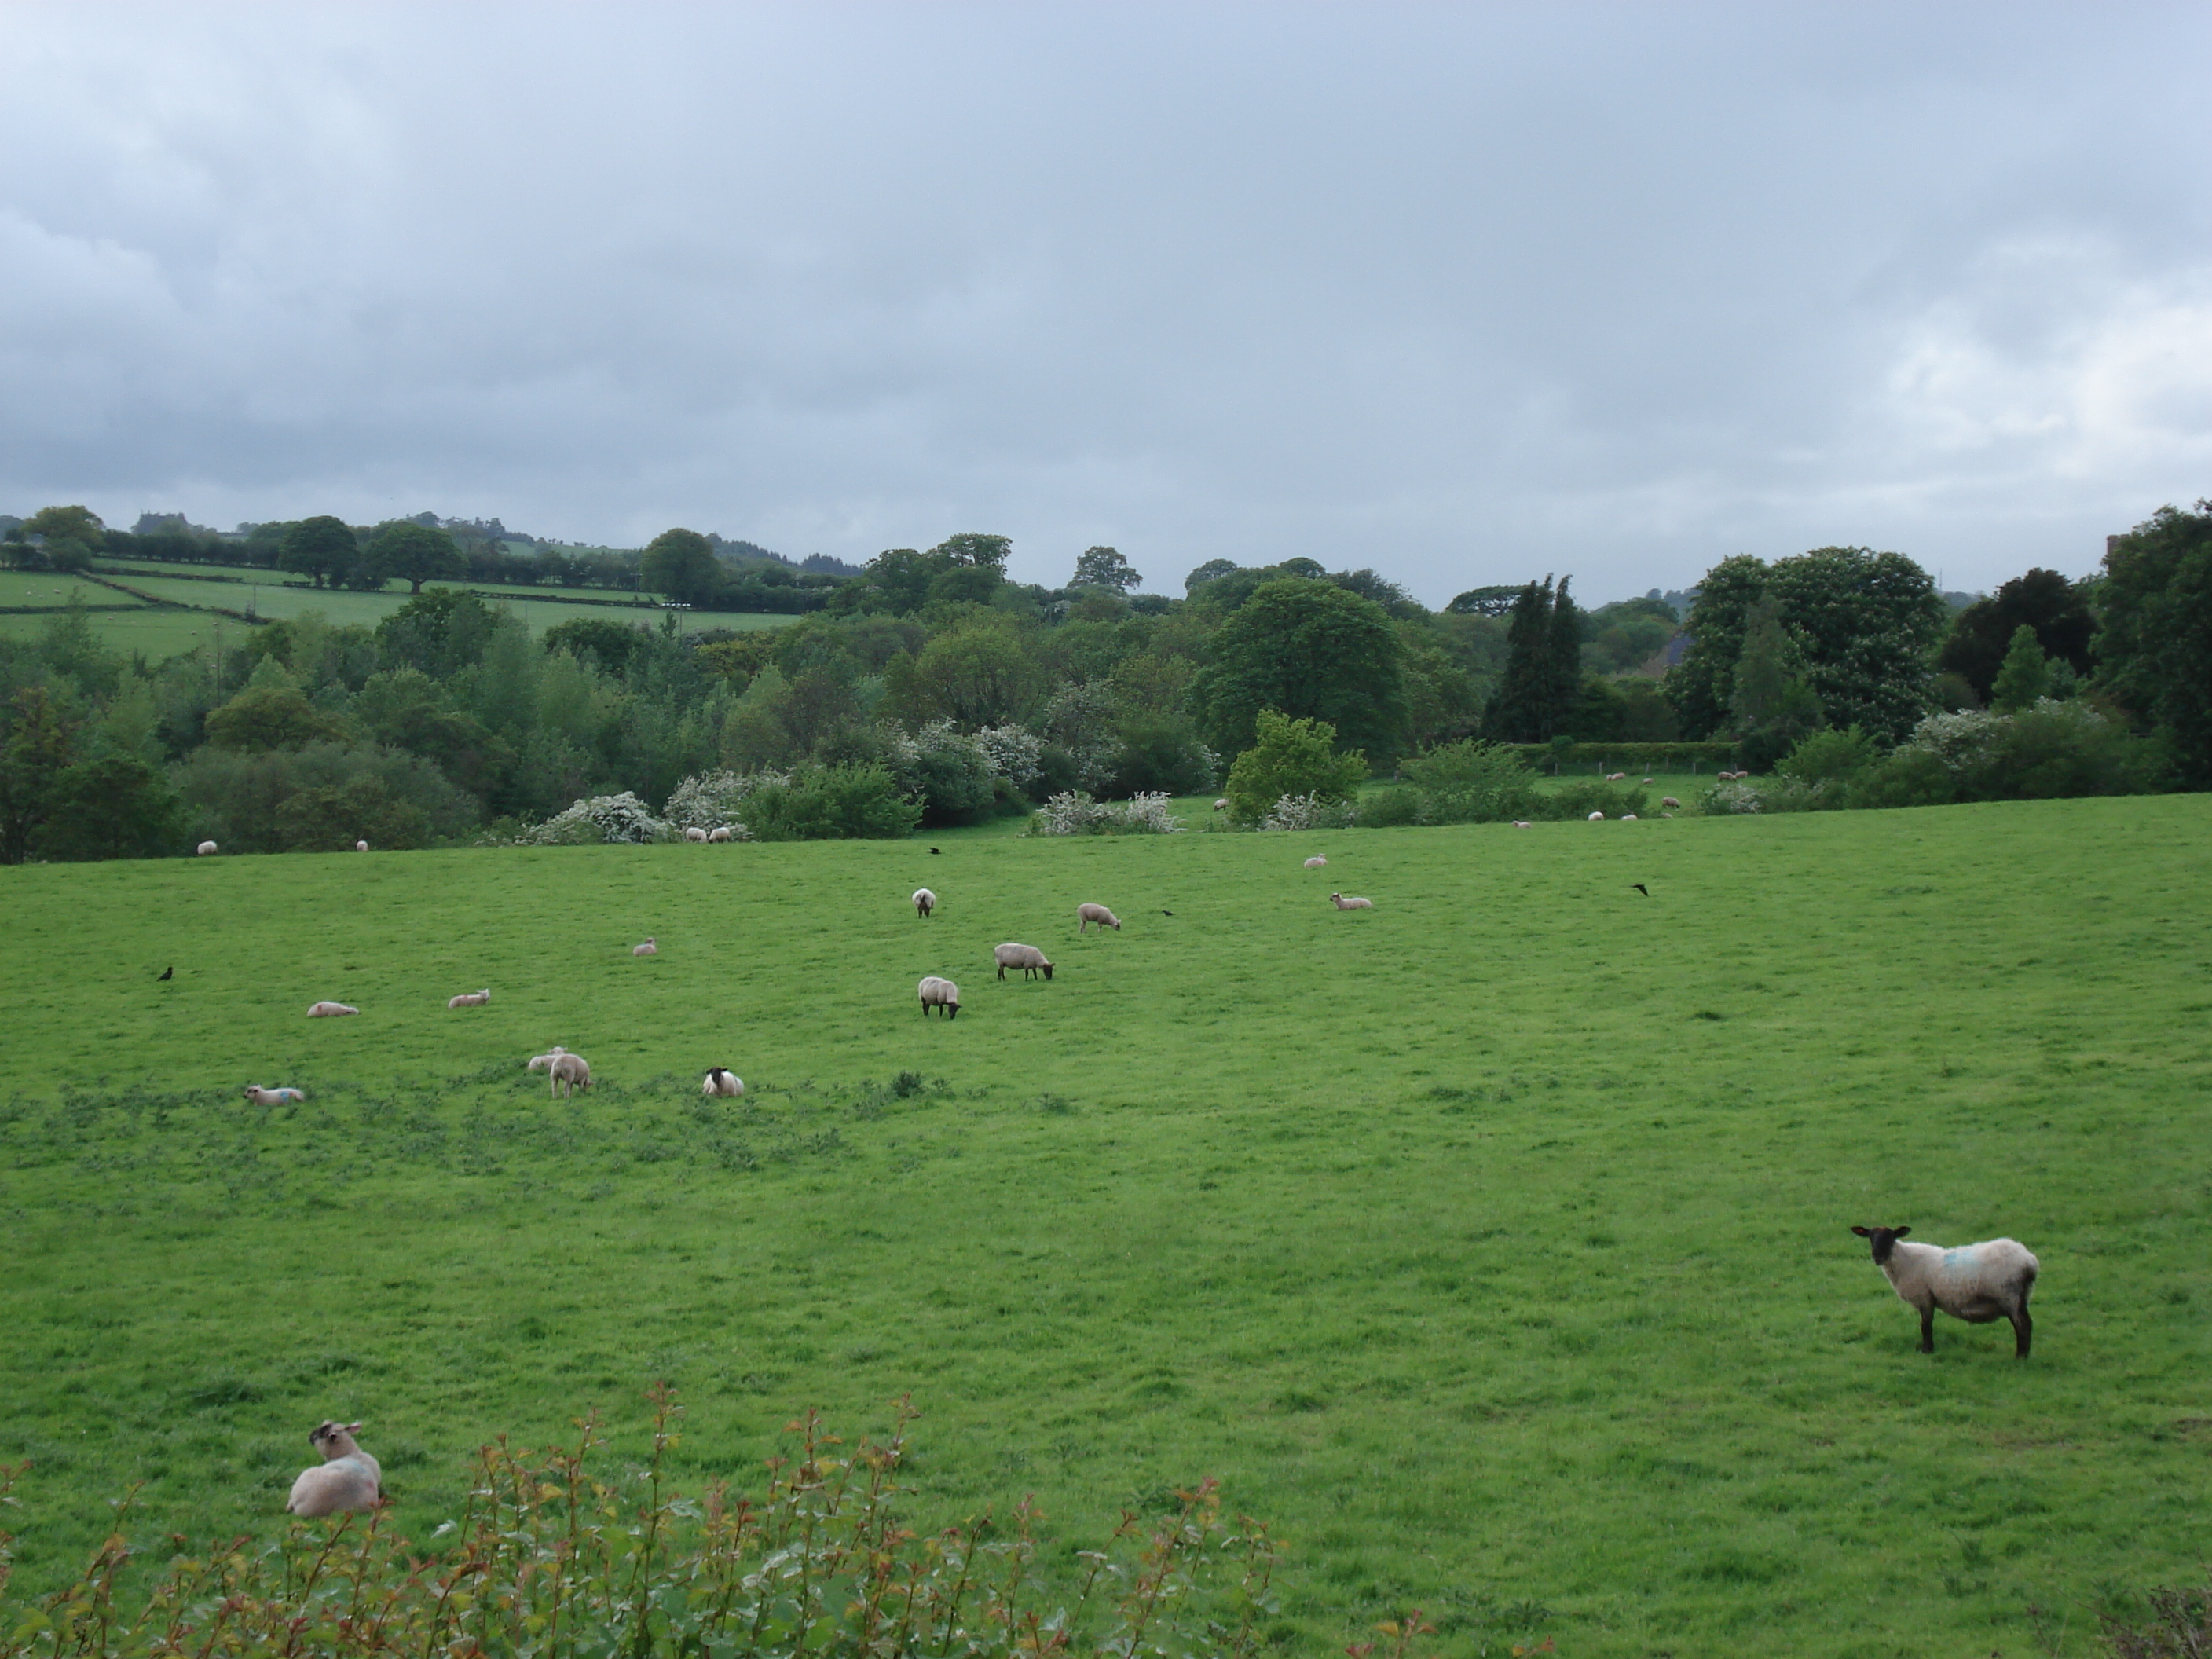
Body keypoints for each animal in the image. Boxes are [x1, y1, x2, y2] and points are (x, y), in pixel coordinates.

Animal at [1849, 1229, 2034, 1353]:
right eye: (1871, 1237)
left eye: (1890, 1237)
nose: (1877, 1256)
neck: (1904, 1259)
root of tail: (2029, 1261)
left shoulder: (1924, 1297)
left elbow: (1925, 1326)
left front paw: (1927, 1350)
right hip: (2022, 1296)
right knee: (2028, 1323)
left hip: (2008, 1295)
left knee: (2021, 1325)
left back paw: (2020, 1357)